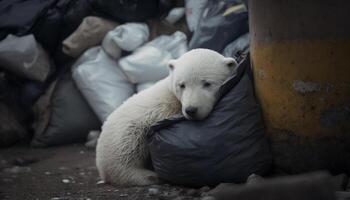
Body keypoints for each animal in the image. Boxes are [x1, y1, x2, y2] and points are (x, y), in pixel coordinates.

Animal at [95, 48, 237, 186]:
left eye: (207, 83)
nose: (191, 110)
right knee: (127, 151)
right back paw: (149, 176)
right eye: (182, 85)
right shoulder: (162, 108)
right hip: (121, 135)